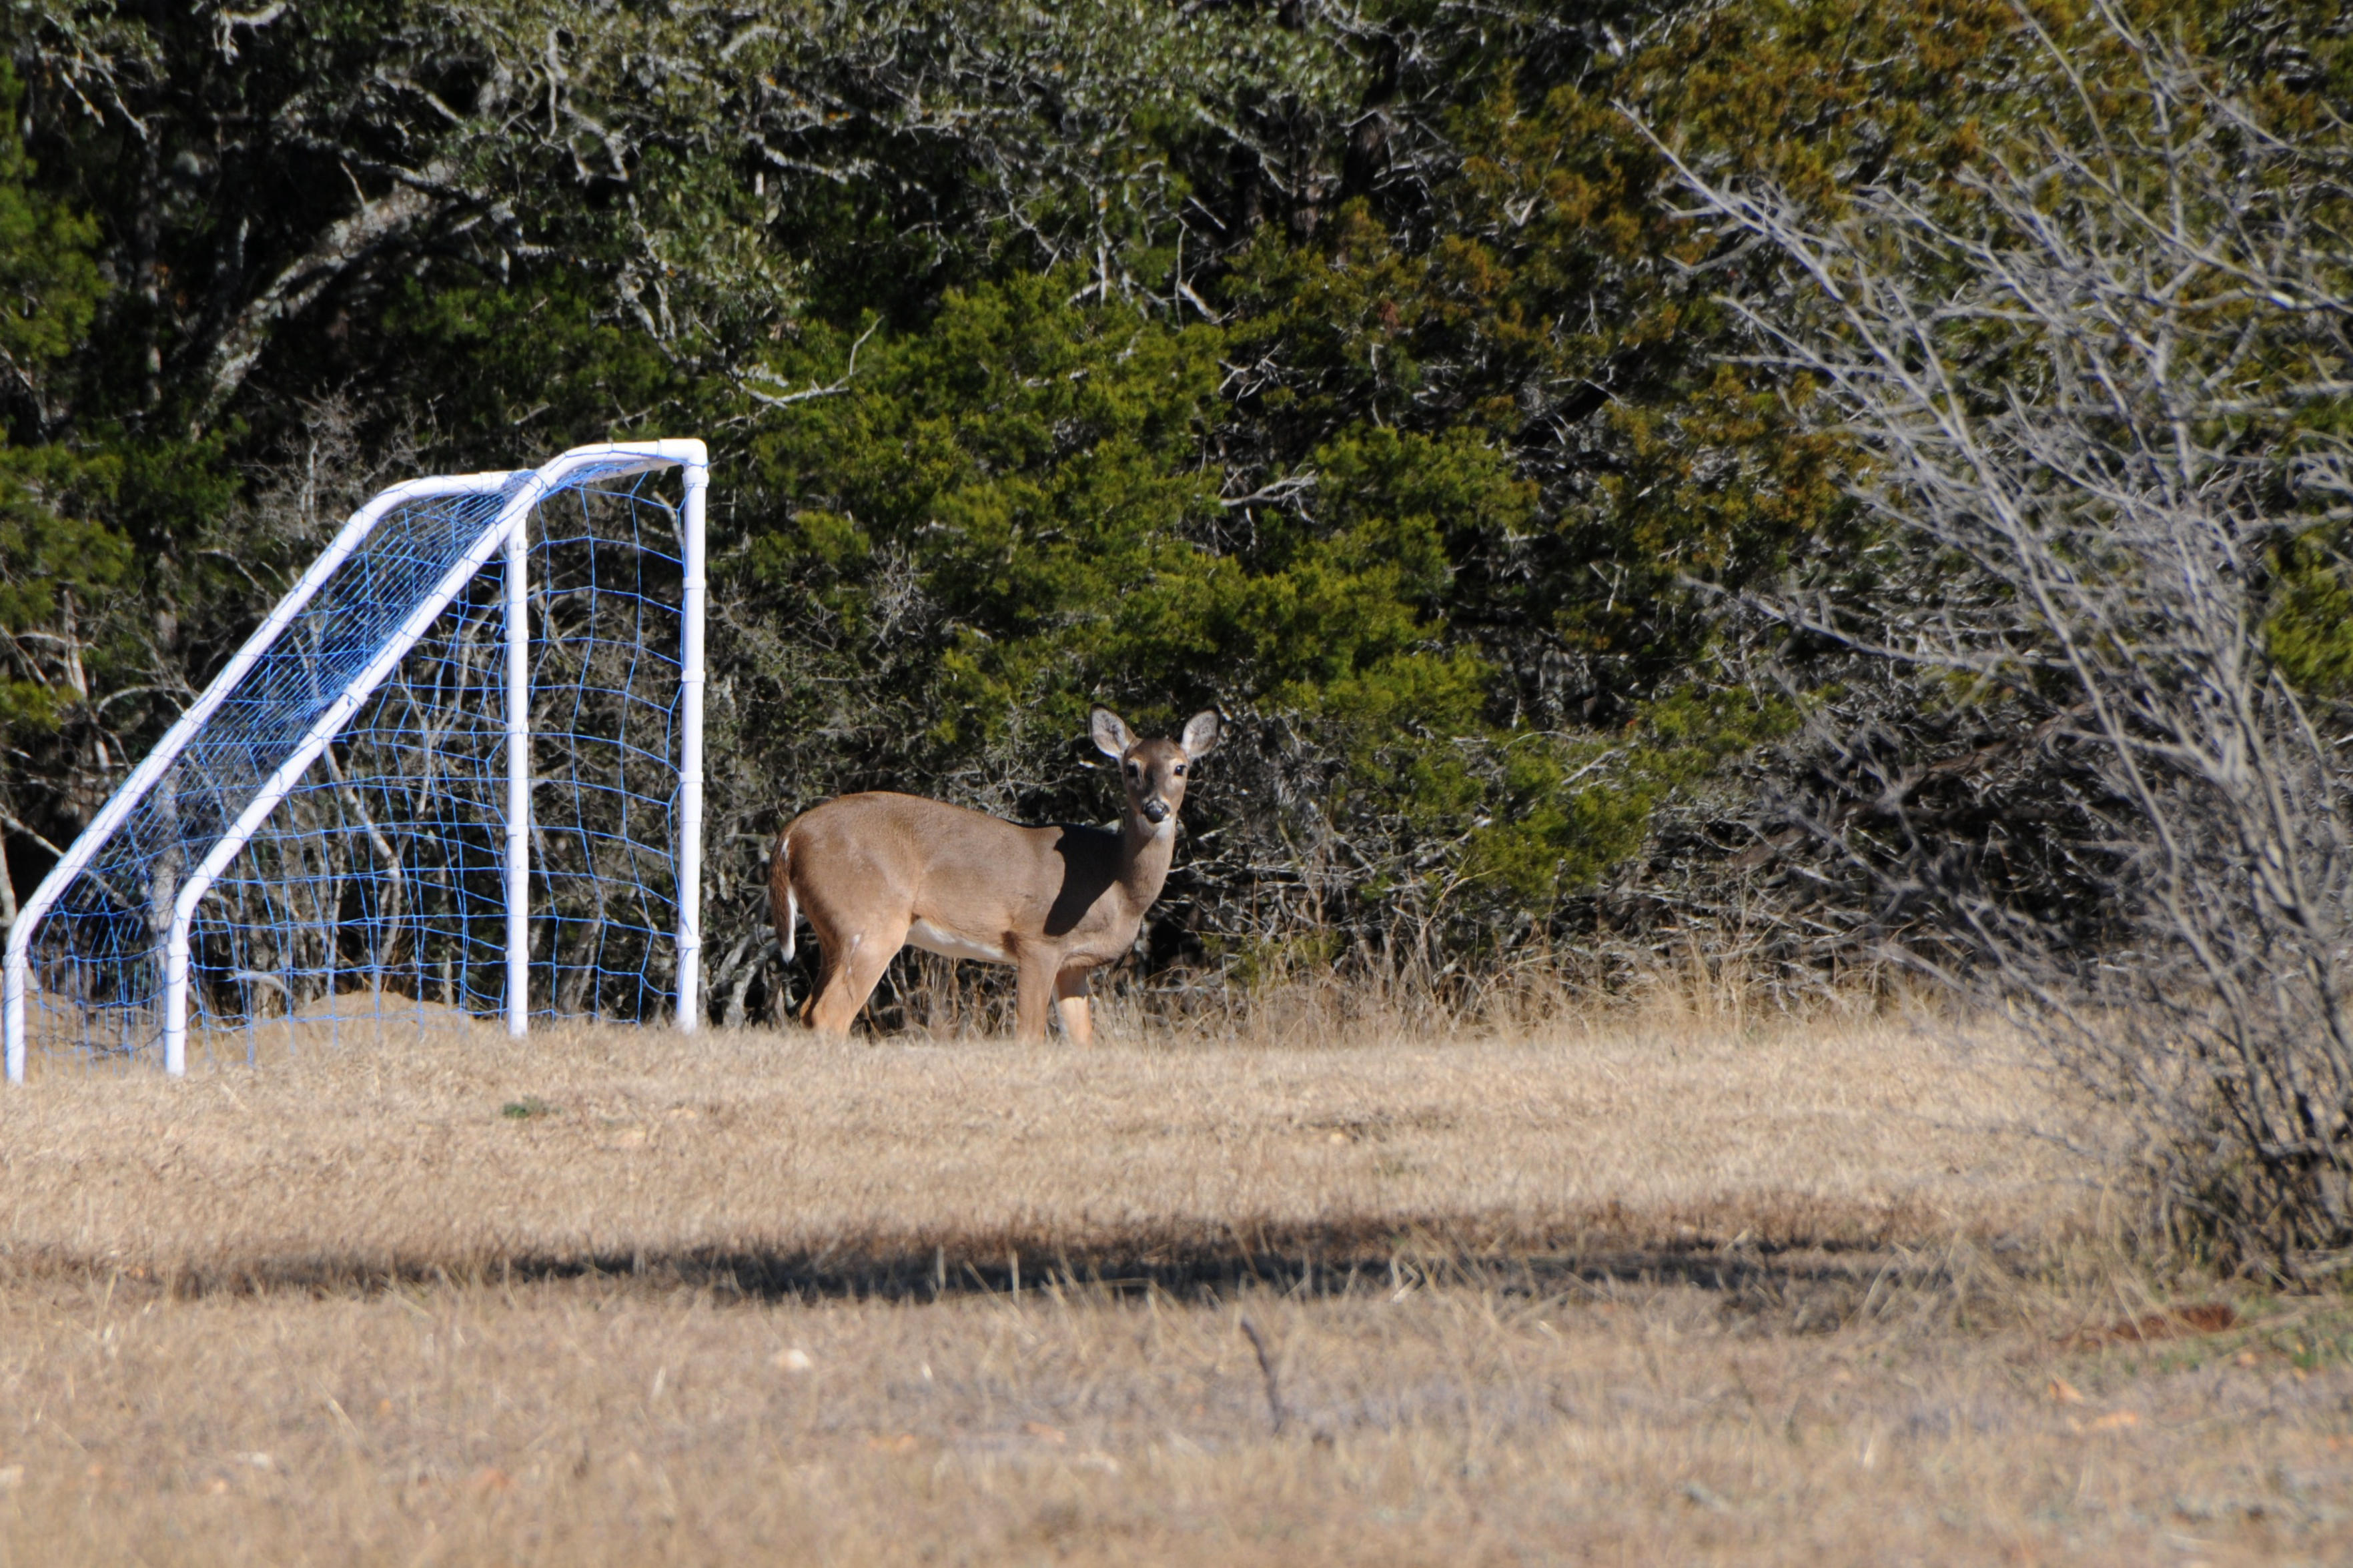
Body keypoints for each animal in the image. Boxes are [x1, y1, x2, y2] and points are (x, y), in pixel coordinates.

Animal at [771, 705, 1224, 1034]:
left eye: (1181, 767)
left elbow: (1082, 1039)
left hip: (835, 933)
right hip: (871, 923)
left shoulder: (1074, 965)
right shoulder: (1037, 941)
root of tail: (791, 835)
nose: (1156, 809)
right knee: (829, 1014)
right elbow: (1030, 1034)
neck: (1116, 886)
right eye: (1131, 767)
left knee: (808, 1010)